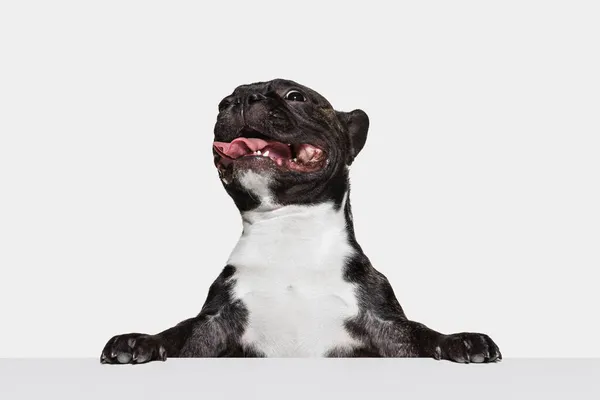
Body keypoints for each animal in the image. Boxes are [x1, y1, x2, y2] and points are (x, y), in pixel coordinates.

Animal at [99, 79, 502, 364]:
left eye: (295, 96)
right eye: (223, 102)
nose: (239, 100)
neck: (289, 232)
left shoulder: (386, 326)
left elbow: (419, 332)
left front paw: (459, 340)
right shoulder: (212, 326)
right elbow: (180, 333)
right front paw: (140, 340)